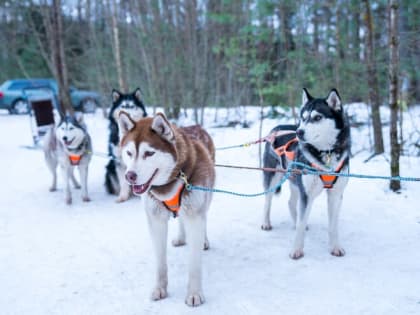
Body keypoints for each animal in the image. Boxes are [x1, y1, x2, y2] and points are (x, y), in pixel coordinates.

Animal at [119, 112, 215, 308]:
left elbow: (194, 264)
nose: (129, 176)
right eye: (129, 153)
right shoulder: (156, 221)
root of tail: (197, 126)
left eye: (149, 153)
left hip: (205, 198)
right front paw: (160, 288)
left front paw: (194, 293)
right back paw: (181, 237)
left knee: (204, 216)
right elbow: (160, 263)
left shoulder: (195, 216)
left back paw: (204, 240)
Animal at [262, 88, 352, 260]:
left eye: (317, 117)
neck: (326, 153)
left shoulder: (335, 194)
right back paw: (266, 223)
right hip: (273, 178)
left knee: (291, 202)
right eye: (303, 118)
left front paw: (335, 247)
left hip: (295, 181)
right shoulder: (307, 194)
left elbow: (333, 225)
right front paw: (296, 250)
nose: (299, 132)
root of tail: (276, 128)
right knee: (267, 200)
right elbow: (301, 225)